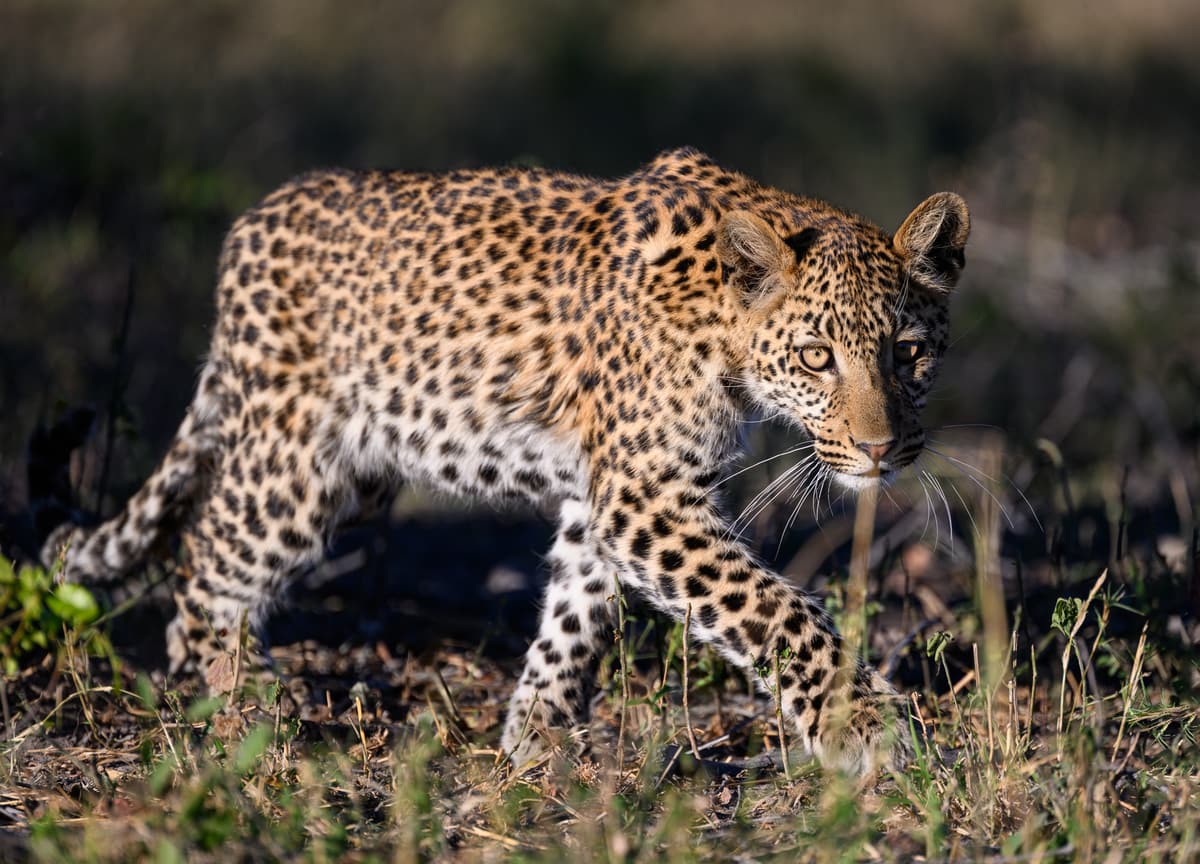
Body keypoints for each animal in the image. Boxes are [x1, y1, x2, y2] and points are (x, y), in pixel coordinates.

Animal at [42, 147, 969, 775]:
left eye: (910, 353)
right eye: (817, 358)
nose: (881, 449)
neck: (725, 325)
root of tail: (250, 223)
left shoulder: (611, 496)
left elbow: (575, 616)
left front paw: (537, 739)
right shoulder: (648, 497)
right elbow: (777, 611)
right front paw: (866, 729)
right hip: (294, 463)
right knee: (202, 565)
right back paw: (246, 707)